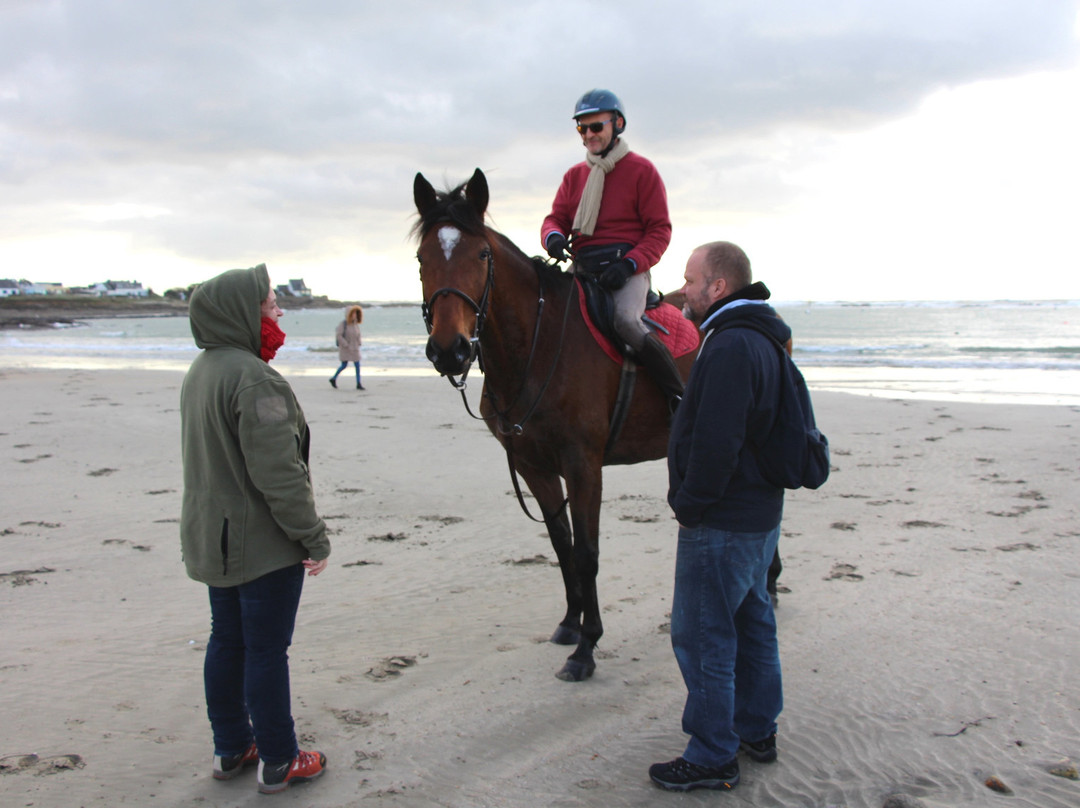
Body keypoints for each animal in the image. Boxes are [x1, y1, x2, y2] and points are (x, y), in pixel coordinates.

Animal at [408, 168, 695, 682]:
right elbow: (561, 544)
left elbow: (586, 552)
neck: (536, 349)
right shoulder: (533, 465)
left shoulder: (584, 466)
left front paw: (587, 647)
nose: (449, 350)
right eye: (423, 257)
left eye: (482, 254)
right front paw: (570, 624)